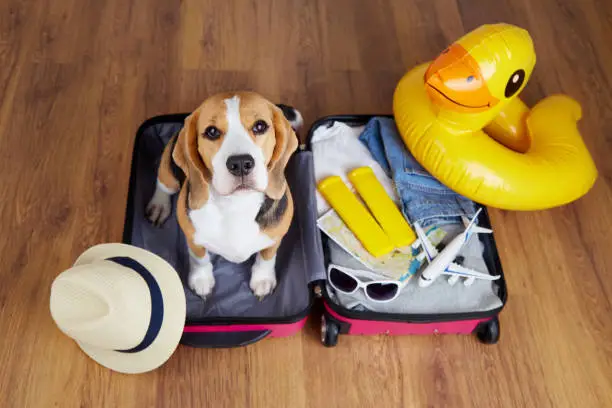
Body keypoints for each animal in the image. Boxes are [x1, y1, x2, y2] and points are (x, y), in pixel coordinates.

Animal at [144, 92, 302, 300]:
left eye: (260, 126)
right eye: (212, 132)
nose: (241, 163)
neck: (236, 204)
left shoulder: (275, 237)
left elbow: (266, 257)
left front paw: (262, 279)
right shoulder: (193, 237)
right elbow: (200, 258)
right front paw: (201, 280)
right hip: (170, 169)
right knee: (163, 183)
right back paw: (159, 205)